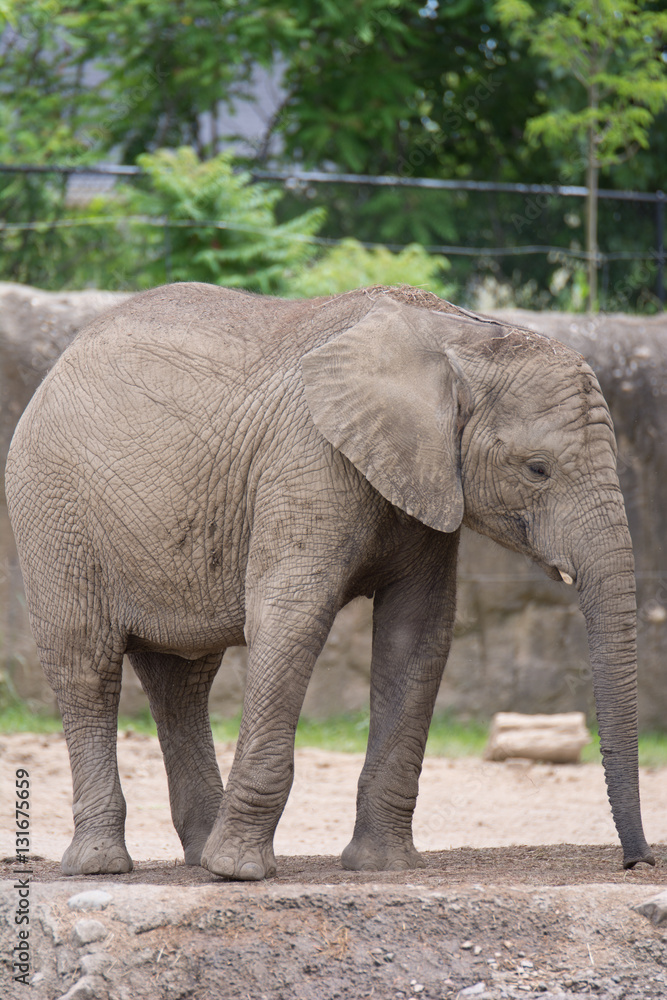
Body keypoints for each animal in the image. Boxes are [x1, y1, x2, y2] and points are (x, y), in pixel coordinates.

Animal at [5, 281, 655, 879]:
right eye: (537, 469)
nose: (638, 862)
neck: (458, 334)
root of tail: (58, 363)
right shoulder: (309, 459)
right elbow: (291, 617)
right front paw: (240, 873)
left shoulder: (423, 484)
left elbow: (416, 635)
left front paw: (382, 867)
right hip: (52, 508)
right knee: (85, 663)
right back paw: (103, 865)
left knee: (181, 679)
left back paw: (197, 858)